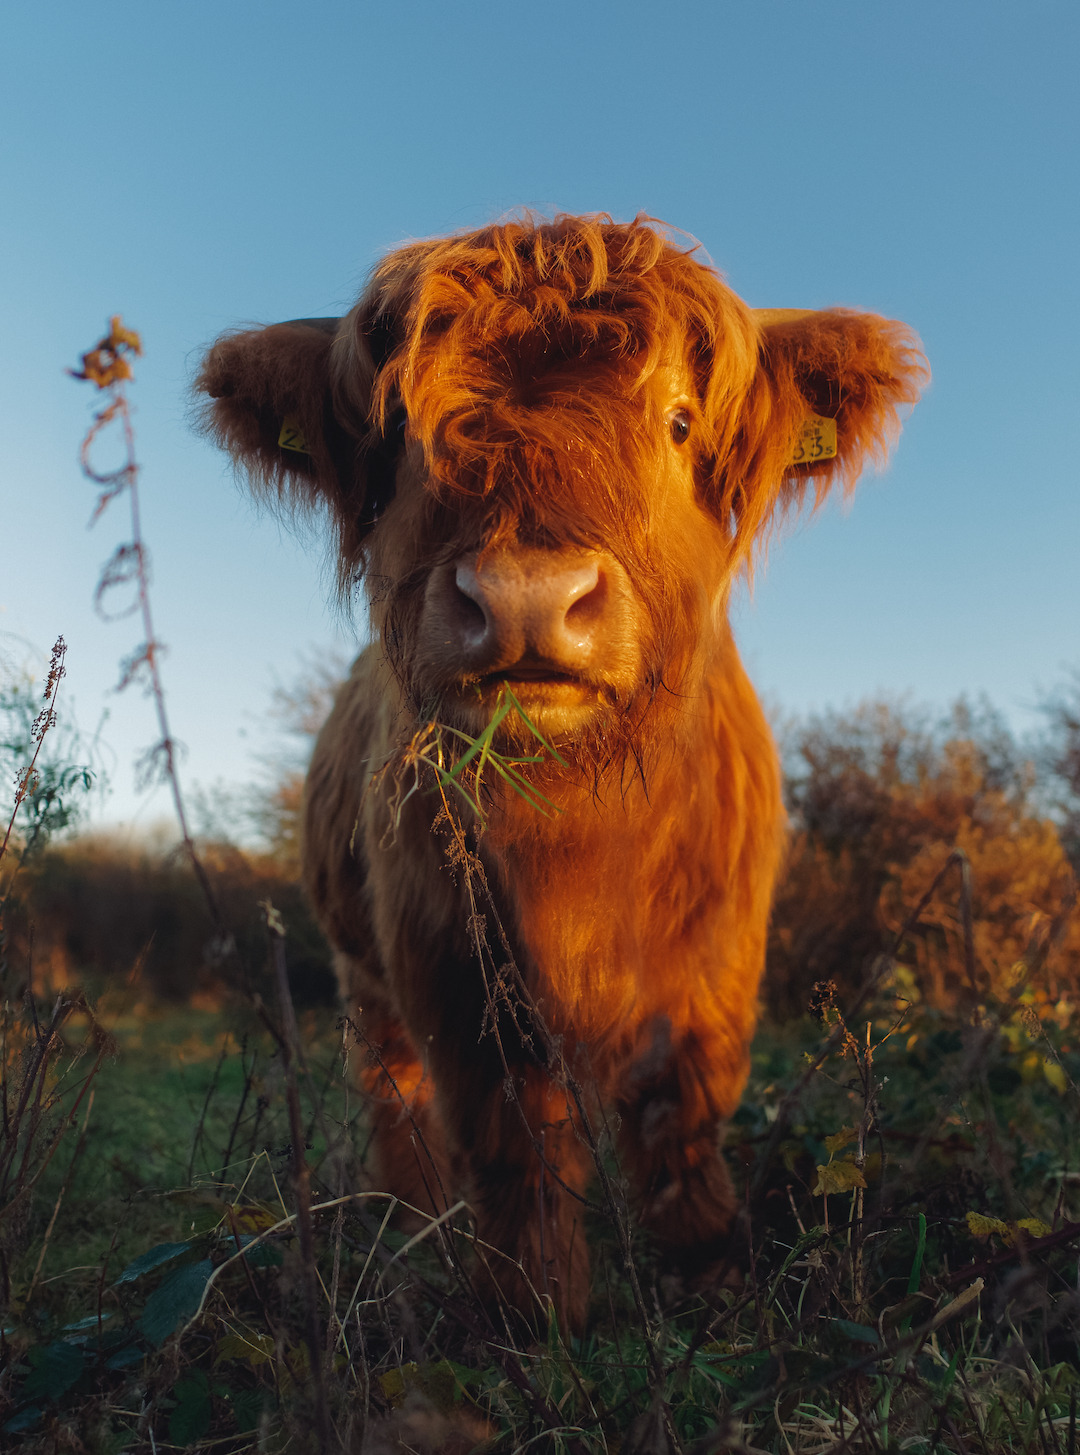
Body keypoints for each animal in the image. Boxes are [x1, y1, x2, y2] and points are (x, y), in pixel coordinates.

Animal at [197, 213, 927, 1331]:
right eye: (400, 427)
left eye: (678, 420)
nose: (525, 596)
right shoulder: (447, 964)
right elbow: (512, 1142)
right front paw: (530, 1312)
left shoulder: (717, 965)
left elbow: (681, 1120)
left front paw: (709, 1285)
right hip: (361, 966)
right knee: (393, 1089)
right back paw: (412, 1216)